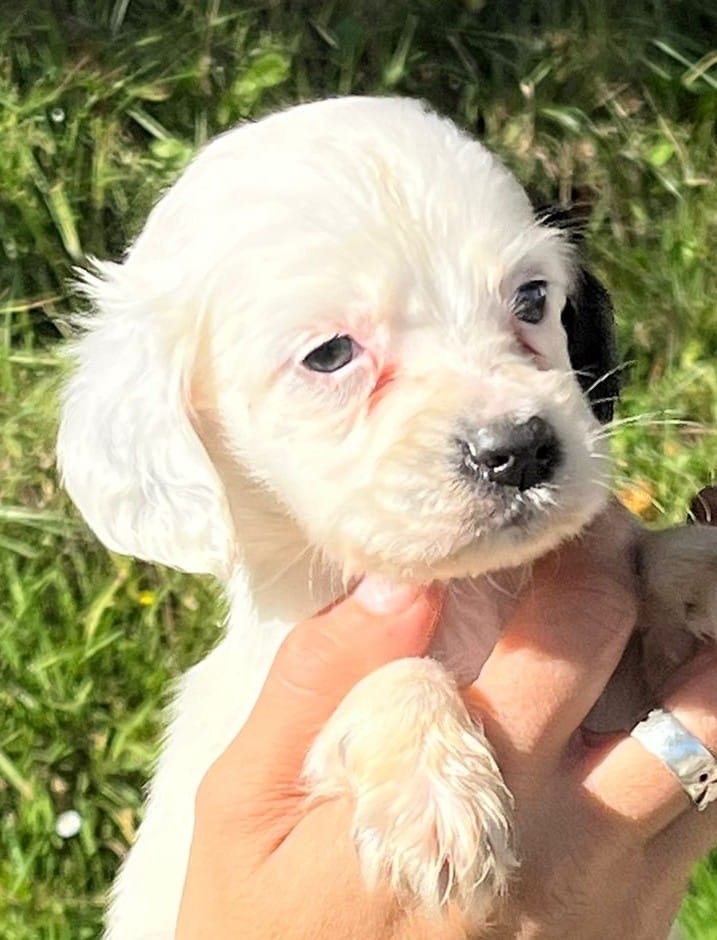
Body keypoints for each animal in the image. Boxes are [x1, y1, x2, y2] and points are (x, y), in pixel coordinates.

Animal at [57, 96, 717, 938]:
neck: (471, 596)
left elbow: (648, 566)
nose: (519, 451)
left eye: (533, 299)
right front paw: (434, 789)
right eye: (330, 354)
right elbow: (379, 675)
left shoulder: (634, 685)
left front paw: (698, 564)